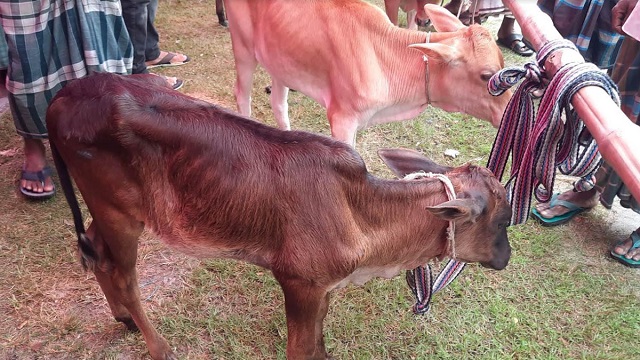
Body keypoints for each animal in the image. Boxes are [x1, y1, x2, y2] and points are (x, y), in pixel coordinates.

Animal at [47, 71, 512, 358]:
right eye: (504, 218)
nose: (506, 257)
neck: (360, 215)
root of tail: (63, 95)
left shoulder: (322, 286)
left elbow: (319, 341)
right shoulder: (298, 281)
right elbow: (300, 349)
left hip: (113, 209)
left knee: (95, 253)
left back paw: (123, 319)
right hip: (118, 211)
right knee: (122, 275)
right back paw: (159, 346)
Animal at [228, 1, 512, 146]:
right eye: (487, 76)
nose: (506, 114)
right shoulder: (341, 119)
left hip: (281, 62)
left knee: (278, 101)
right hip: (243, 47)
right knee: (242, 94)